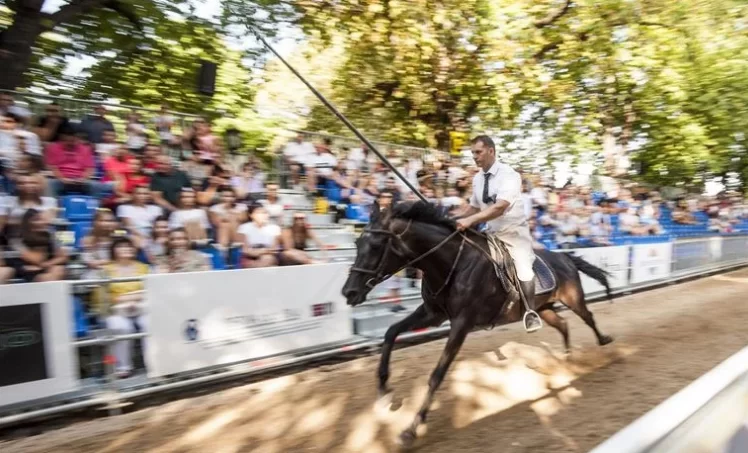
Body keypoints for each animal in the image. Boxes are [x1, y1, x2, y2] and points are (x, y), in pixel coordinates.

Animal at [342, 200, 612, 444]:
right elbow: (391, 332)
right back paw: (566, 361)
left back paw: (604, 342)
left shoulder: (461, 323)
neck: (452, 263)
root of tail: (564, 256)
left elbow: (437, 374)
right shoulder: (432, 313)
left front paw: (411, 429)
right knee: (563, 325)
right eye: (357, 243)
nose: (349, 292)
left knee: (588, 317)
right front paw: (384, 392)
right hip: (543, 309)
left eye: (376, 245)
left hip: (573, 298)